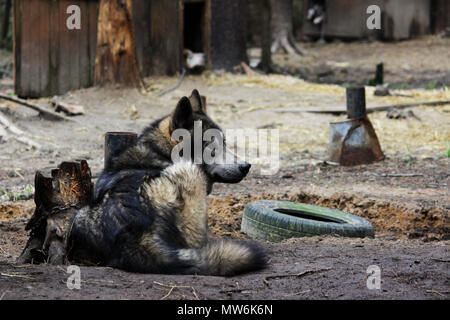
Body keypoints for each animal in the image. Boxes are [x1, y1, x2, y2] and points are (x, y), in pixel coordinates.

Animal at [67, 89, 268, 276]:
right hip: (191, 173)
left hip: (80, 215)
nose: (246, 166)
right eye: (210, 144)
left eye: (224, 142)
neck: (161, 152)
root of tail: (133, 231)